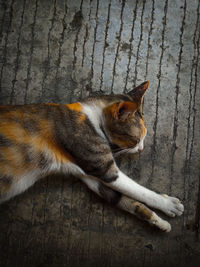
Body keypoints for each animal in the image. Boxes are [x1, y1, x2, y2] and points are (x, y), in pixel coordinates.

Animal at [0, 81, 184, 232]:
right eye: (136, 139)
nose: (142, 148)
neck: (92, 117)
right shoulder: (106, 171)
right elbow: (141, 192)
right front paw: (168, 204)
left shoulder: (89, 175)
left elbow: (125, 200)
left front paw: (159, 222)